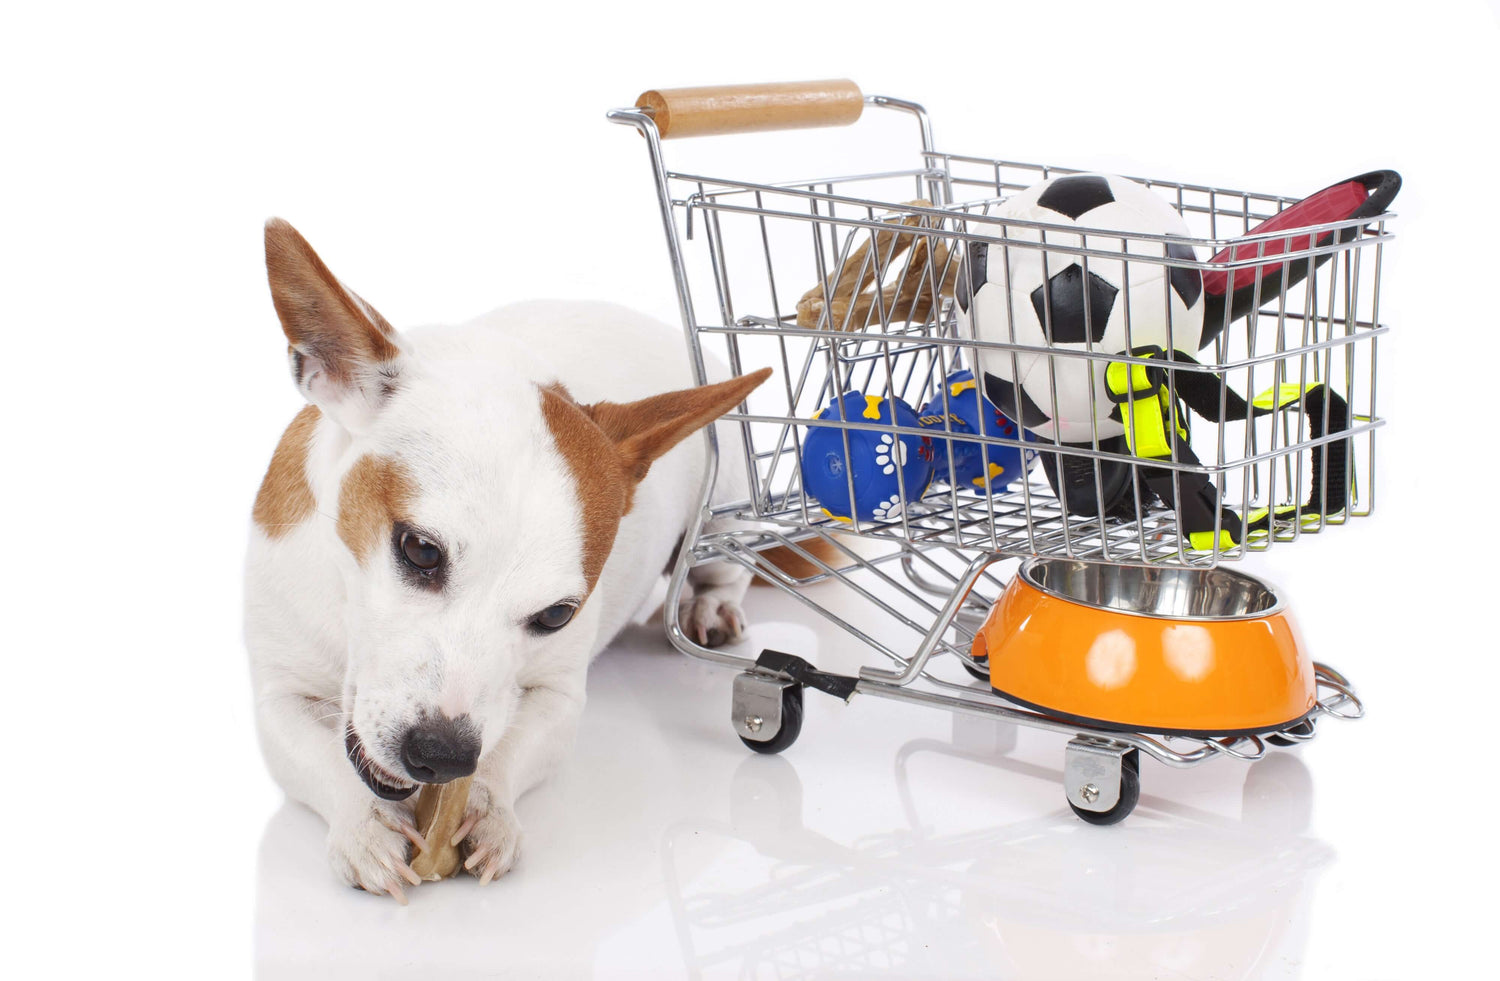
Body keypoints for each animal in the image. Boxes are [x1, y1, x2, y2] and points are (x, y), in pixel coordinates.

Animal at [246, 219, 768, 906]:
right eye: (419, 550)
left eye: (556, 616)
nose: (441, 756)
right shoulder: (279, 698)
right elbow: (324, 761)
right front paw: (363, 827)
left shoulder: (558, 697)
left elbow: (510, 749)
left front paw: (489, 808)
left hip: (727, 496)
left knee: (727, 565)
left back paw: (708, 604)